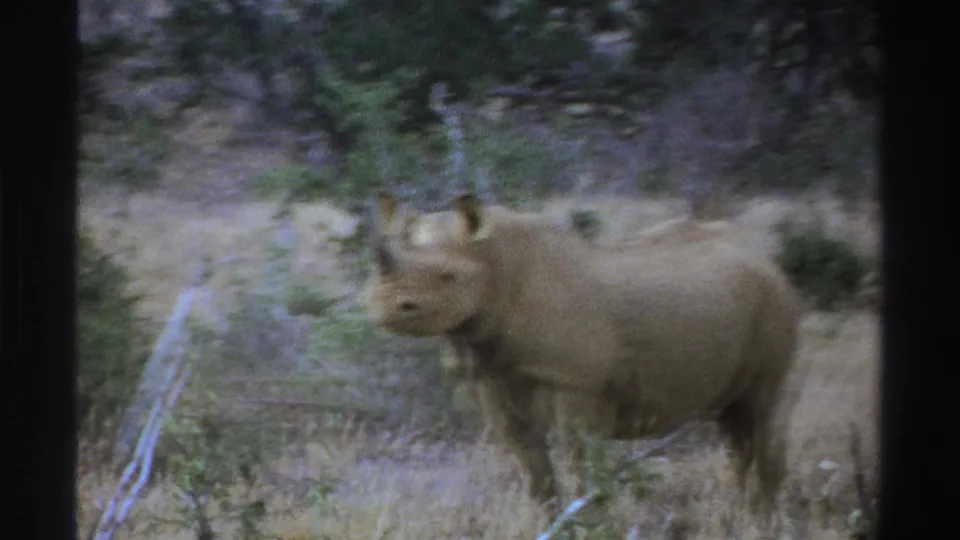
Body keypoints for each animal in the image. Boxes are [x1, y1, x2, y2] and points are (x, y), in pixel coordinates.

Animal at [361, 192, 802, 519]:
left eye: (448, 277)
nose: (385, 307)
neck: (495, 262)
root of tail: (764, 256)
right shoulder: (492, 376)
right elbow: (532, 468)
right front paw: (546, 520)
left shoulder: (577, 384)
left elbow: (578, 466)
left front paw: (586, 521)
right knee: (735, 424)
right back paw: (732, 512)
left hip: (776, 302)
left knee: (764, 408)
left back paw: (760, 521)